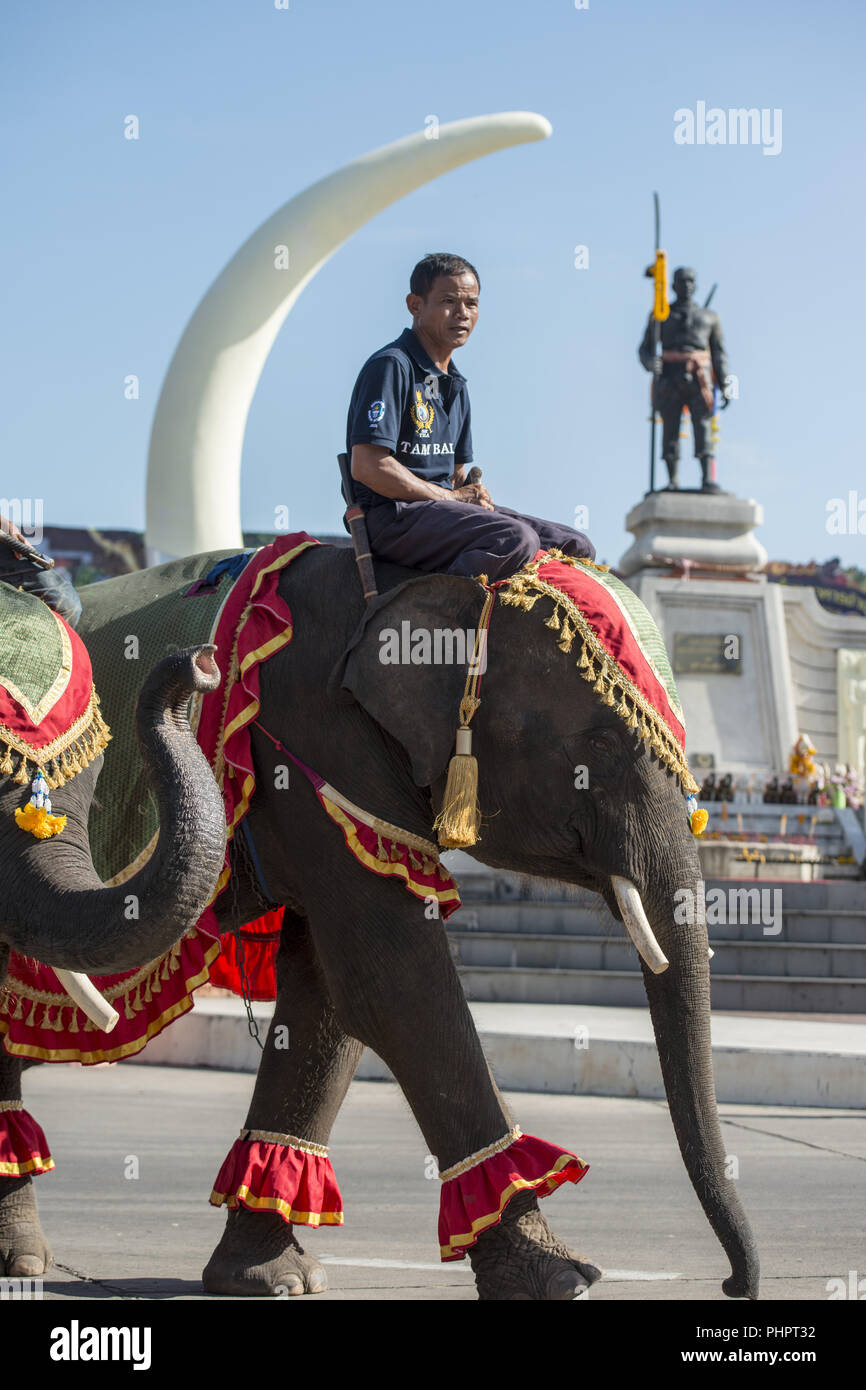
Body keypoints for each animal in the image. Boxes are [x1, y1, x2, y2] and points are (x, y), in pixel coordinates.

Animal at [0, 544, 756, 1301]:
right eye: (600, 744)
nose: (731, 1284)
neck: (415, 581)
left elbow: (330, 999)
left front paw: (274, 1278)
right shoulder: (309, 741)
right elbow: (392, 985)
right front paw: (561, 1276)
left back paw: (22, 1258)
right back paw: (24, 1259)